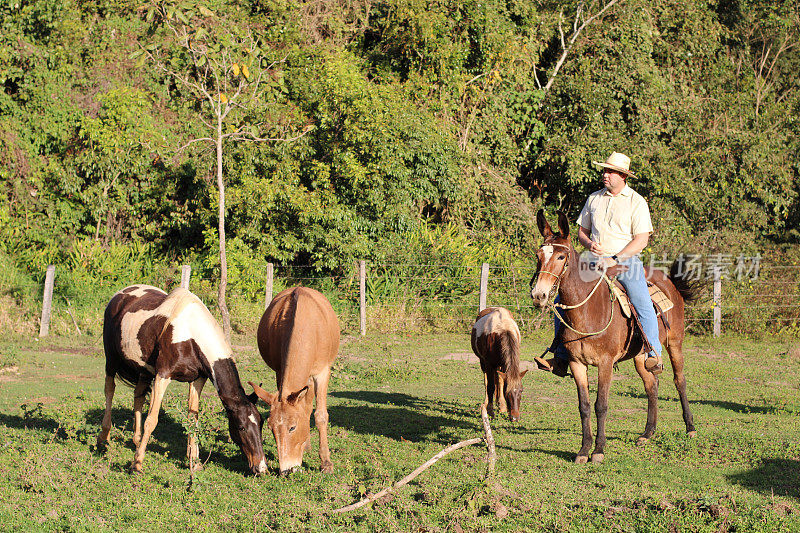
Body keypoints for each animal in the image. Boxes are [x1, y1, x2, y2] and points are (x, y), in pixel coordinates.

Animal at [98, 284, 268, 476]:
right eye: (241, 427)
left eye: (261, 423)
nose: (261, 467)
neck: (191, 334)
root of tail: (119, 295)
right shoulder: (162, 376)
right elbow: (152, 420)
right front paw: (137, 464)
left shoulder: (197, 380)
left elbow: (192, 419)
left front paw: (194, 461)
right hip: (111, 360)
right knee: (109, 390)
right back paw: (103, 438)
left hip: (145, 371)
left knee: (138, 396)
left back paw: (136, 439)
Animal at [248, 286, 340, 474]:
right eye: (270, 428)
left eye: (292, 427)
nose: (287, 470)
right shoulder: (280, 372)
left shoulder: (322, 373)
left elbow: (320, 415)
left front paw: (326, 463)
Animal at [532, 210, 692, 464]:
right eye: (538, 255)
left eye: (560, 256)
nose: (539, 295)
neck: (588, 311)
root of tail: (670, 282)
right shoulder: (577, 363)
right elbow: (584, 406)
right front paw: (583, 450)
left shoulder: (605, 363)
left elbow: (601, 405)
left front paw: (598, 450)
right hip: (640, 356)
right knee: (651, 385)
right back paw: (647, 433)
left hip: (675, 343)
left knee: (680, 380)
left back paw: (690, 428)